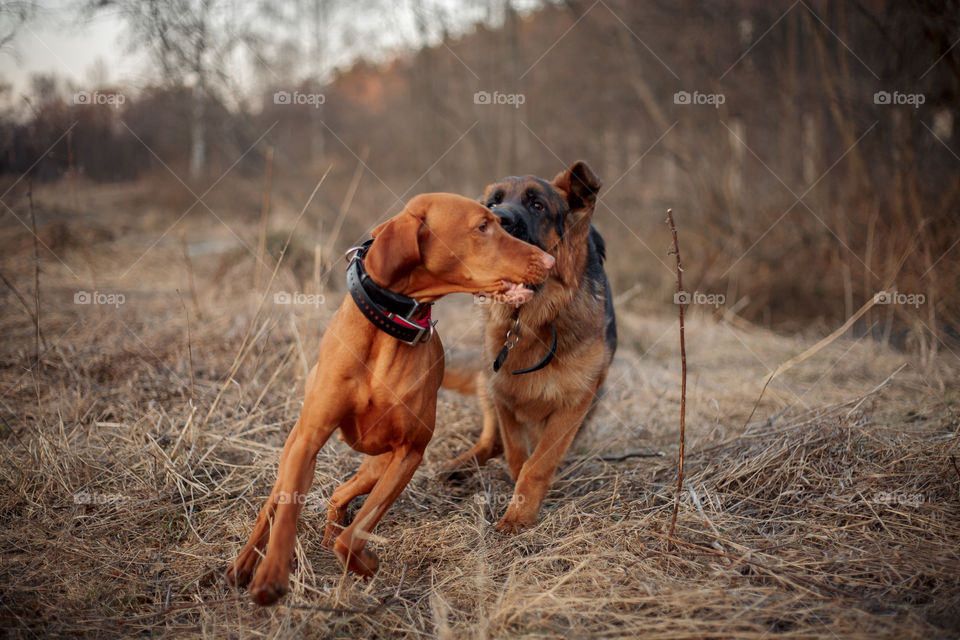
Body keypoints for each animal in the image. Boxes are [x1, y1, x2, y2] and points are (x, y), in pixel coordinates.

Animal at [227, 191, 556, 604]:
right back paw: (244, 562)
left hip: (376, 464)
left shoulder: (408, 454)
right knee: (274, 503)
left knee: (340, 493)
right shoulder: (308, 441)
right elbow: (287, 512)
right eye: (483, 226)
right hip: (296, 450)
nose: (551, 261)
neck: (390, 325)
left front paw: (363, 562)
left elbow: (358, 531)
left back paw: (330, 531)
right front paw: (271, 575)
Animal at [440, 162, 616, 532]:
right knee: (490, 440)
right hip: (486, 383)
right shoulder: (503, 395)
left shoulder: (573, 405)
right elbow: (516, 453)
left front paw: (519, 516)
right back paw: (459, 466)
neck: (532, 319)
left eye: (537, 206)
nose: (498, 219)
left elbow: (537, 465)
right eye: (493, 203)